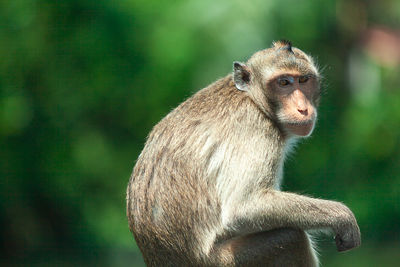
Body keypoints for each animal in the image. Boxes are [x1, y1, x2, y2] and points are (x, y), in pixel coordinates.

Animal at [126, 40, 360, 267]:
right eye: (283, 83)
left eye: (303, 80)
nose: (303, 108)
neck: (253, 99)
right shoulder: (255, 129)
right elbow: (244, 207)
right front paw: (341, 217)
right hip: (227, 261)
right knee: (291, 238)